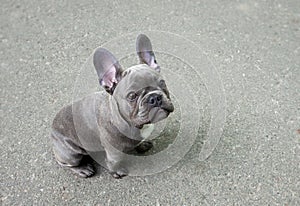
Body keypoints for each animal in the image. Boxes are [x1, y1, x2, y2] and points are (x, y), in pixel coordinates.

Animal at [50, 34, 175, 178]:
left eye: (162, 83)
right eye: (132, 96)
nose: (154, 98)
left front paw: (142, 145)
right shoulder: (113, 151)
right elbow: (114, 161)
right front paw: (117, 171)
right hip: (71, 154)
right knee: (67, 163)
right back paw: (83, 169)